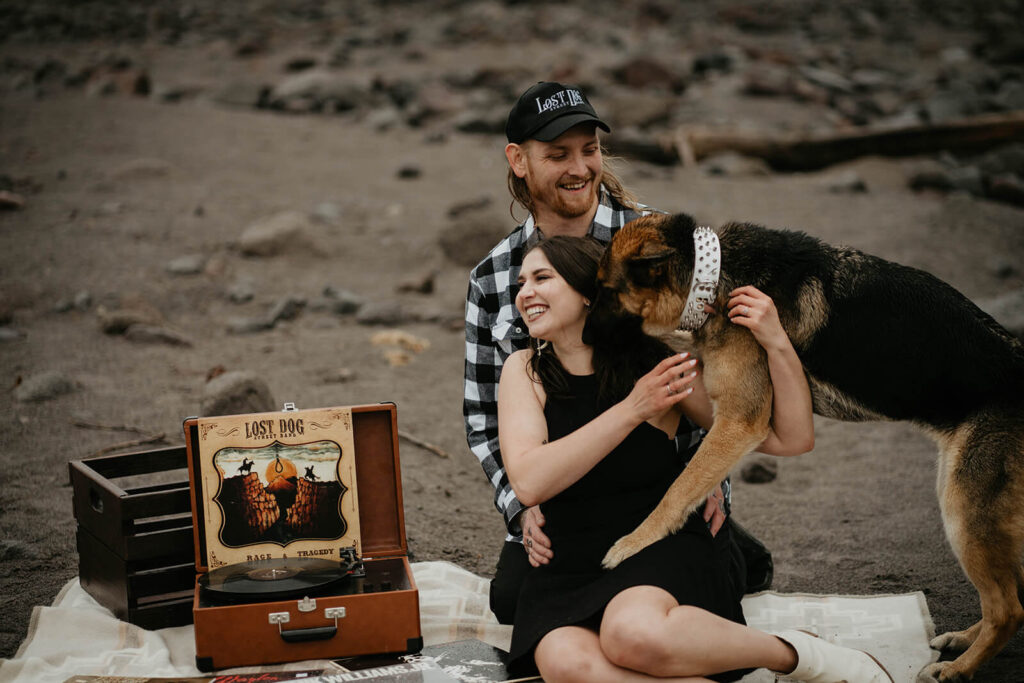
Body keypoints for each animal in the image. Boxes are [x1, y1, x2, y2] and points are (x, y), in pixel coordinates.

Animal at [589, 214, 1024, 683]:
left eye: (605, 290)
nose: (578, 335)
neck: (714, 273)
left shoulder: (740, 421)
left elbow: (678, 489)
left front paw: (635, 542)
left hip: (963, 512)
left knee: (1007, 609)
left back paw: (958, 668)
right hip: (961, 493)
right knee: (1011, 596)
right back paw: (963, 641)